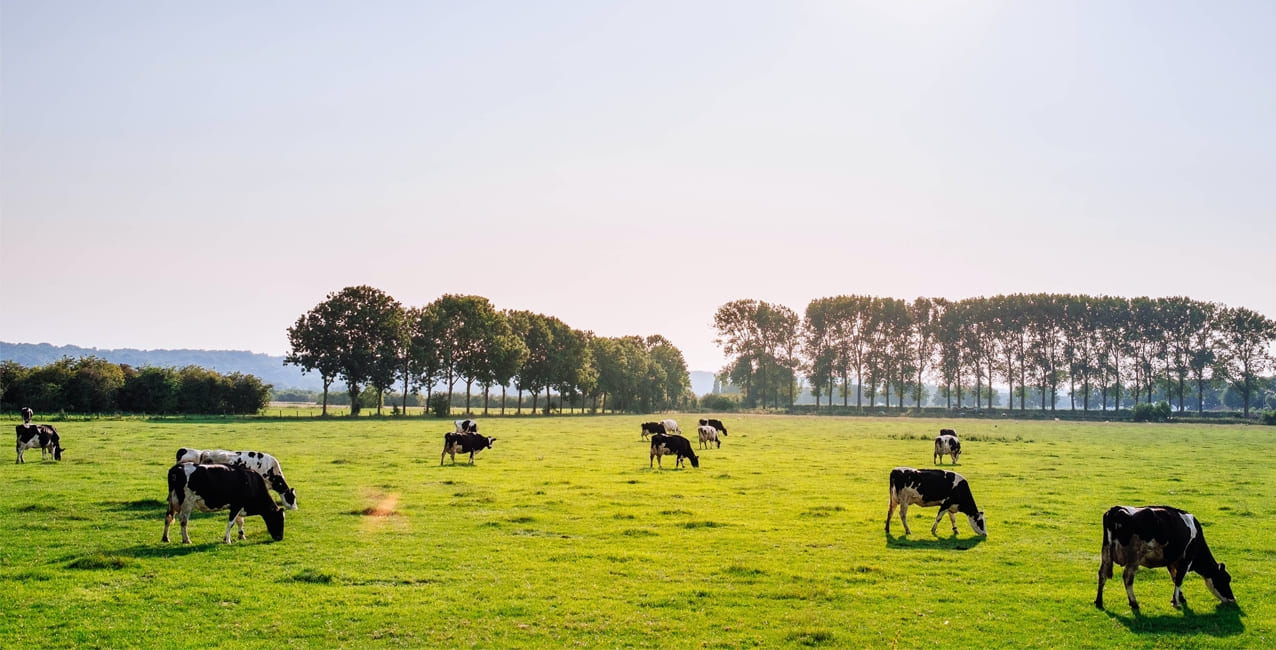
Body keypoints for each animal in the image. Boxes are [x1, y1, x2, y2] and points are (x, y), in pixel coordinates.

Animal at [1097, 503, 1235, 610]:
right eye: (1225, 579)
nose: (1233, 599)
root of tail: (1116, 509)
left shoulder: (1172, 561)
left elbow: (1174, 577)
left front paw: (1180, 598)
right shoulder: (1186, 559)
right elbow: (1179, 579)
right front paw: (1176, 602)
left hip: (1106, 553)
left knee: (1102, 574)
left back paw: (1099, 602)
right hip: (1134, 557)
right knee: (1127, 578)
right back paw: (1134, 603)